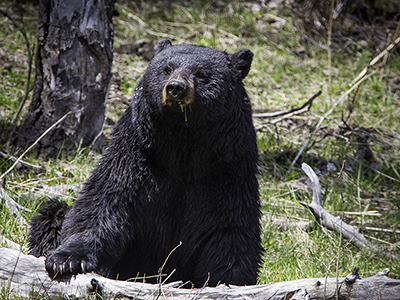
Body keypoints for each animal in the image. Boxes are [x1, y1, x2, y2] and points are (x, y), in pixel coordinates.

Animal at [28, 38, 266, 288]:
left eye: (202, 73)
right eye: (167, 68)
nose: (175, 88)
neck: (183, 151)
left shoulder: (226, 171)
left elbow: (229, 228)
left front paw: (229, 281)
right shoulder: (135, 156)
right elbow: (104, 202)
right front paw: (67, 260)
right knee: (52, 214)